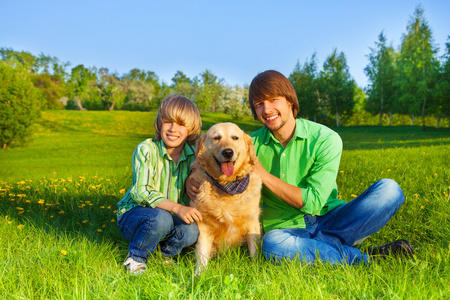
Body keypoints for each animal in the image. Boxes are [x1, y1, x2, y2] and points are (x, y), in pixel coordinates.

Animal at [189, 122, 260, 276]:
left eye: (235, 137)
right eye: (216, 138)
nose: (228, 152)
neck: (227, 185)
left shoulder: (252, 222)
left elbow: (254, 250)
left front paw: (255, 271)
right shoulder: (204, 225)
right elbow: (202, 253)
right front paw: (199, 275)